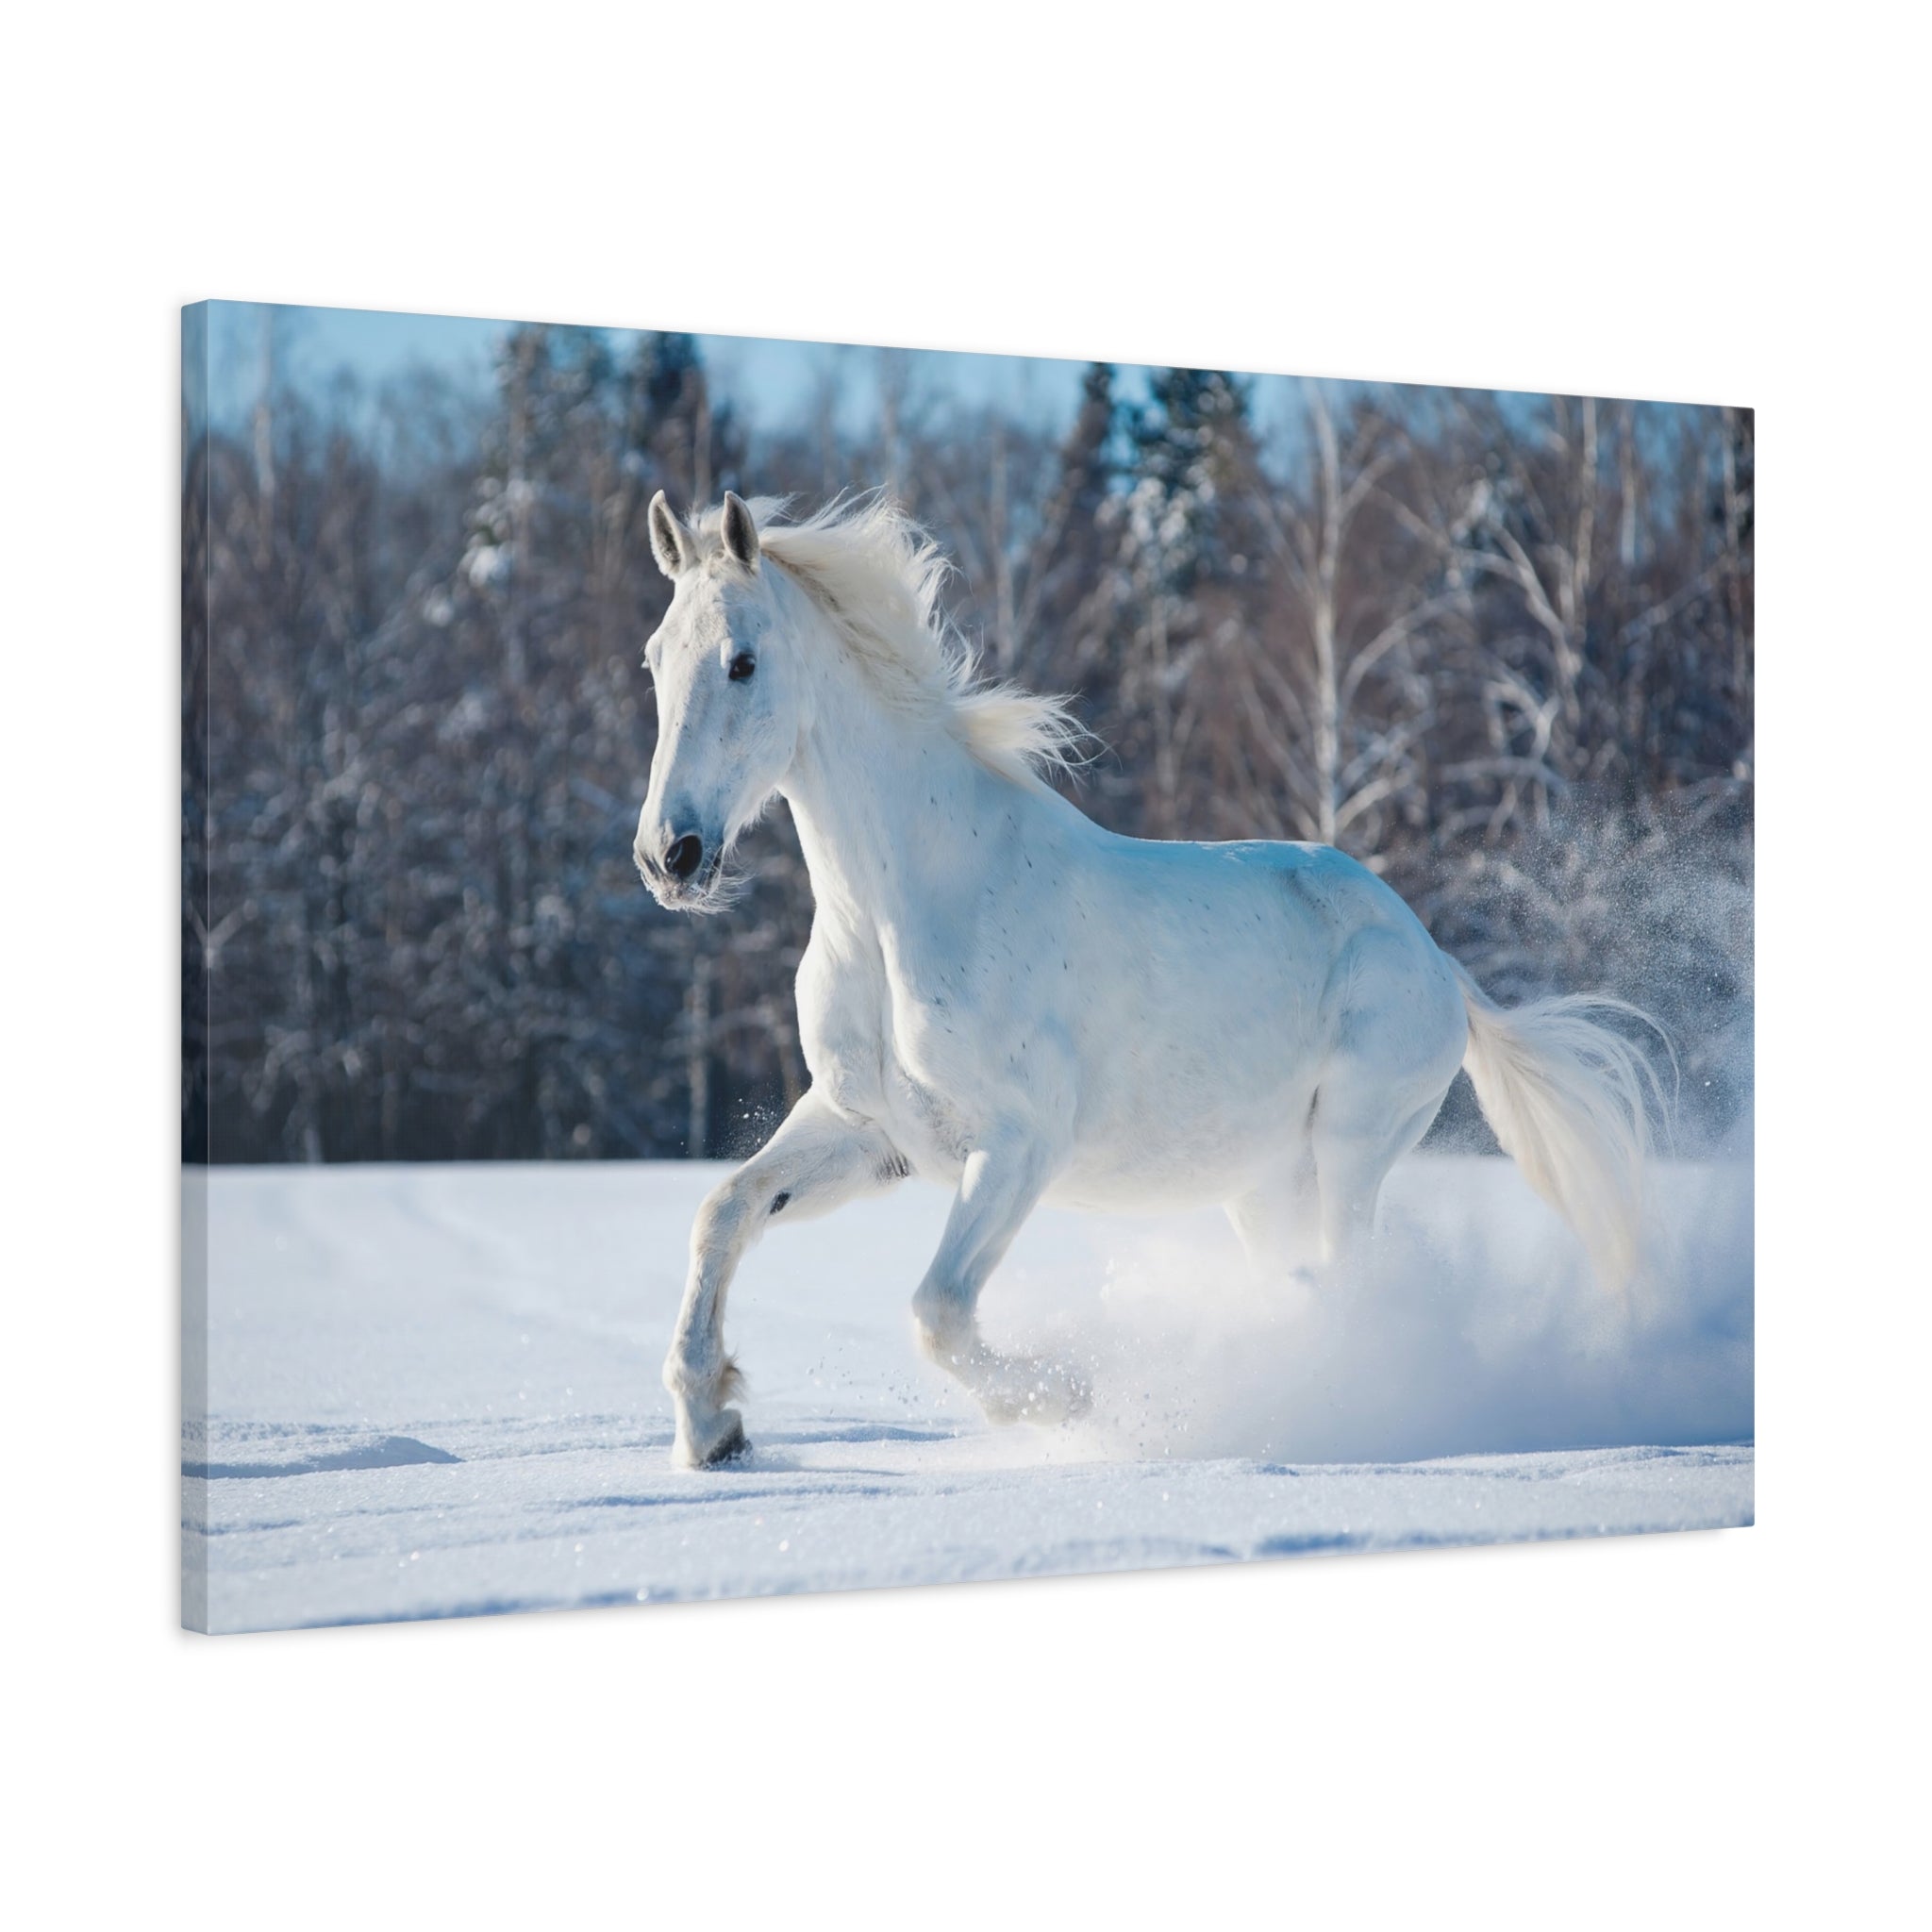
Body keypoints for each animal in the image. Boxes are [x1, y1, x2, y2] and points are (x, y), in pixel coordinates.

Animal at [634, 489, 1662, 1468]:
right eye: (653, 660)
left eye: (741, 661)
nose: (668, 856)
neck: (905, 912)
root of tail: (1436, 959)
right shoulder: (866, 1130)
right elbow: (722, 1213)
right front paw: (712, 1426)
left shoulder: (1019, 1143)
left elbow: (938, 1311)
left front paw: (1067, 1397)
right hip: (1262, 1184)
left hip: (1352, 1148)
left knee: (1348, 1289)